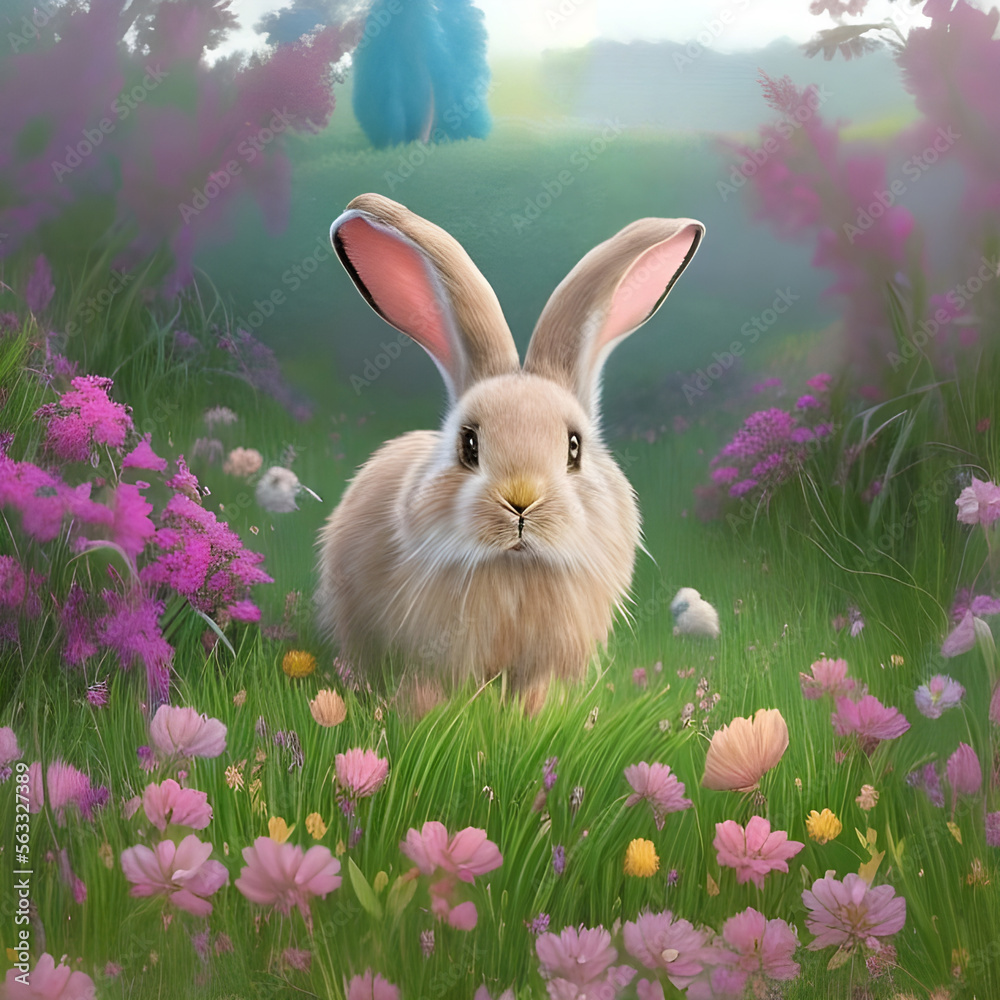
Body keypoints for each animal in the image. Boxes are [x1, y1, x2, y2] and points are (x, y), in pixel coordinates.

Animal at [317, 192, 704, 713]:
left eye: (574, 447)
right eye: (469, 444)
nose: (521, 502)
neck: (515, 569)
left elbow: (532, 697)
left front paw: (530, 720)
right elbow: (428, 694)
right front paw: (429, 718)